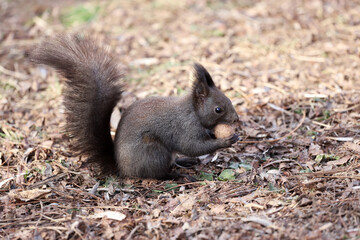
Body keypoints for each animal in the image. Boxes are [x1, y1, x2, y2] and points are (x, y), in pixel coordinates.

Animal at [31, 34, 239, 179]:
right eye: (218, 109)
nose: (237, 120)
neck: (194, 111)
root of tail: (121, 168)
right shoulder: (184, 127)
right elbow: (192, 146)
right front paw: (225, 141)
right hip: (152, 152)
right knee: (158, 175)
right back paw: (176, 175)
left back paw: (183, 162)